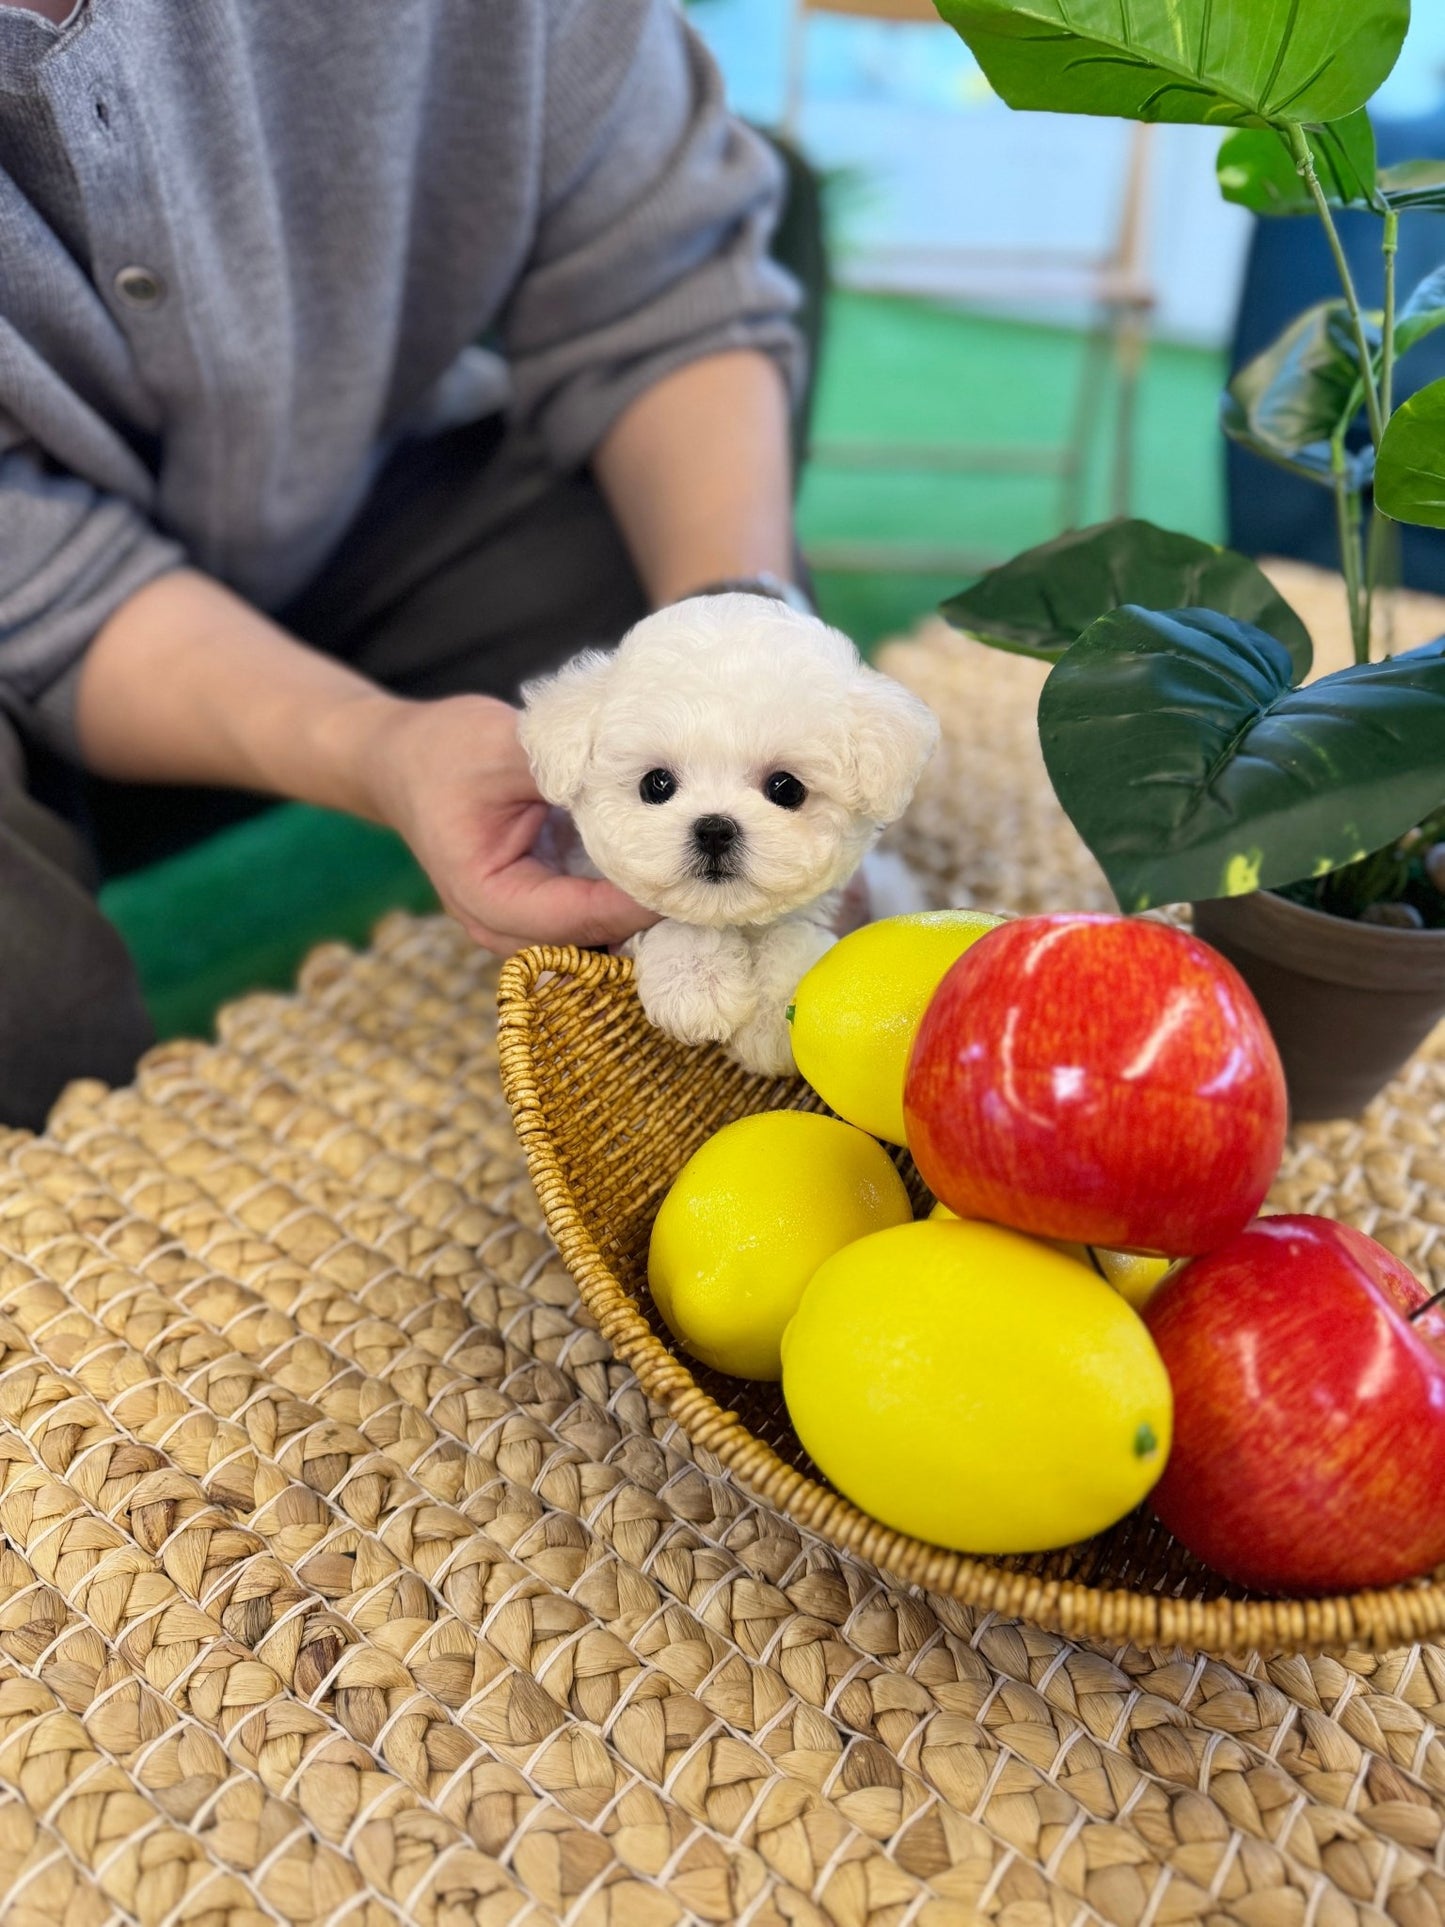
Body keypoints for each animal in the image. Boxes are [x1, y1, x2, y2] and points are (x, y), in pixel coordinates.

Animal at [516, 593, 940, 1079]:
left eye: (787, 788)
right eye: (656, 784)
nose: (715, 829)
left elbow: (793, 933)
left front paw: (775, 1018)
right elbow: (678, 919)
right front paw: (693, 980)